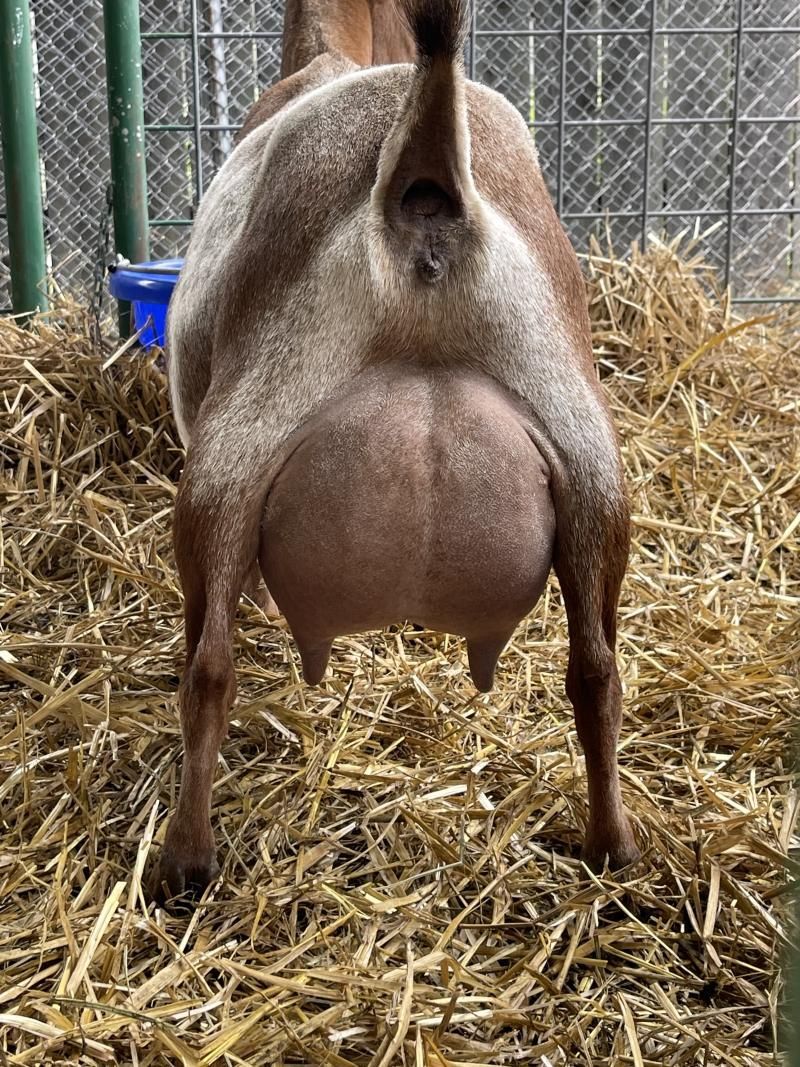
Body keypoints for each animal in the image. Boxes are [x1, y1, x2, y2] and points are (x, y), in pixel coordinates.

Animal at [154, 0, 639, 903]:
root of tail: (422, 171)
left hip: (232, 455)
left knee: (207, 667)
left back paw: (186, 861)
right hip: (589, 458)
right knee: (596, 669)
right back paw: (613, 847)